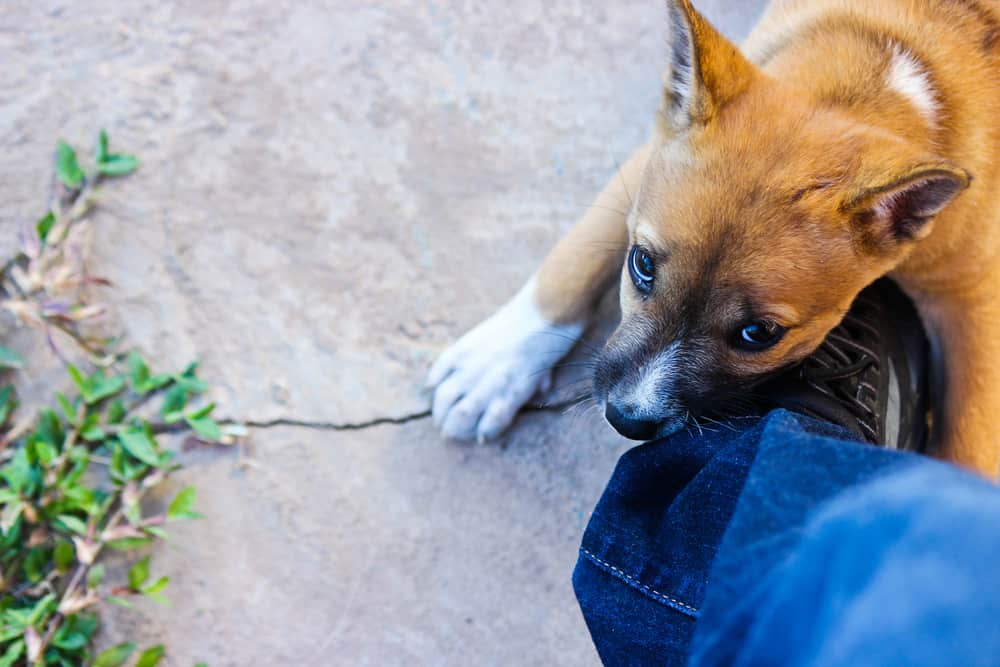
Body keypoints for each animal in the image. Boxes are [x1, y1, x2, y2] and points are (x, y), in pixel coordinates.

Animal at [426, 1, 1000, 480]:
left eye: (759, 334)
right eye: (641, 264)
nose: (627, 419)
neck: (889, 76)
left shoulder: (972, 296)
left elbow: (970, 437)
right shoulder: (652, 152)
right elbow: (576, 256)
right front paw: (493, 367)